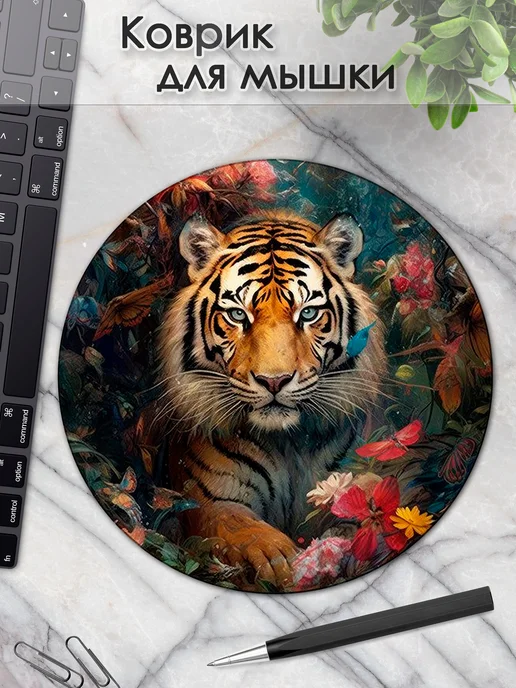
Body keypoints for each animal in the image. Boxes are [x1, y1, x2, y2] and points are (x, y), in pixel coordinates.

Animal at [158, 210, 387, 589]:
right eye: (238, 315)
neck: (288, 443)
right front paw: (278, 559)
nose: (274, 380)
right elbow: (240, 526)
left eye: (307, 314)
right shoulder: (210, 499)